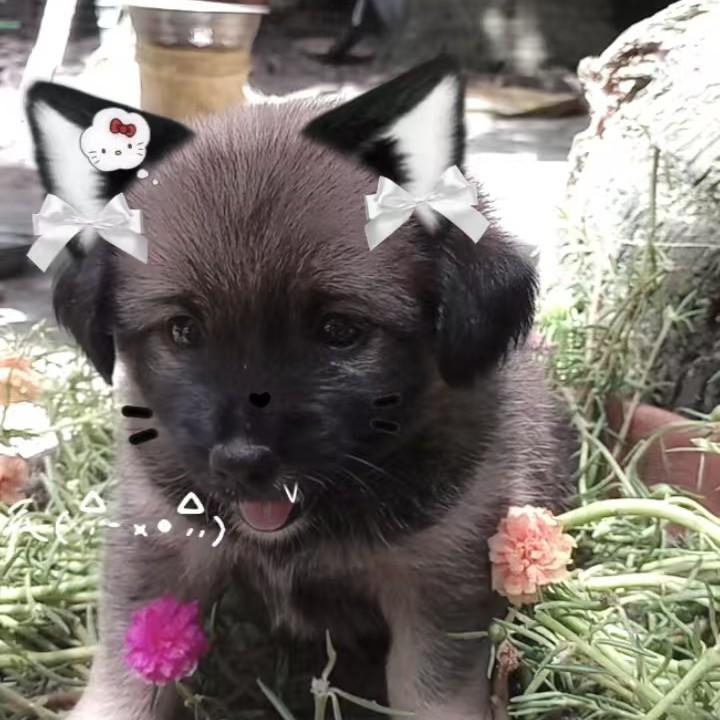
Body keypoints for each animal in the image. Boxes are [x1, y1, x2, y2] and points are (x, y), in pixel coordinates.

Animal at [26, 56, 573, 720]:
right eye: (183, 330)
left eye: (340, 331)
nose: (241, 462)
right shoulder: (159, 547)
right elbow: (125, 675)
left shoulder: (440, 583)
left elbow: (432, 691)